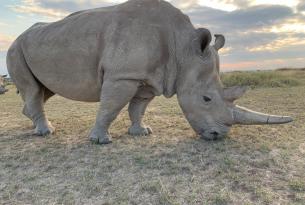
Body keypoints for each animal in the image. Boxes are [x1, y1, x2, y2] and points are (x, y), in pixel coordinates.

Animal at [7, 0, 290, 144]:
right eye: (206, 99)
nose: (217, 136)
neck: (183, 49)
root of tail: (17, 36)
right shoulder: (123, 74)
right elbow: (111, 107)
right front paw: (101, 141)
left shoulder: (149, 78)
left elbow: (138, 108)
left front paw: (141, 132)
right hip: (16, 48)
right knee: (33, 90)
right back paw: (46, 132)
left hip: (40, 44)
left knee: (42, 90)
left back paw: (35, 124)